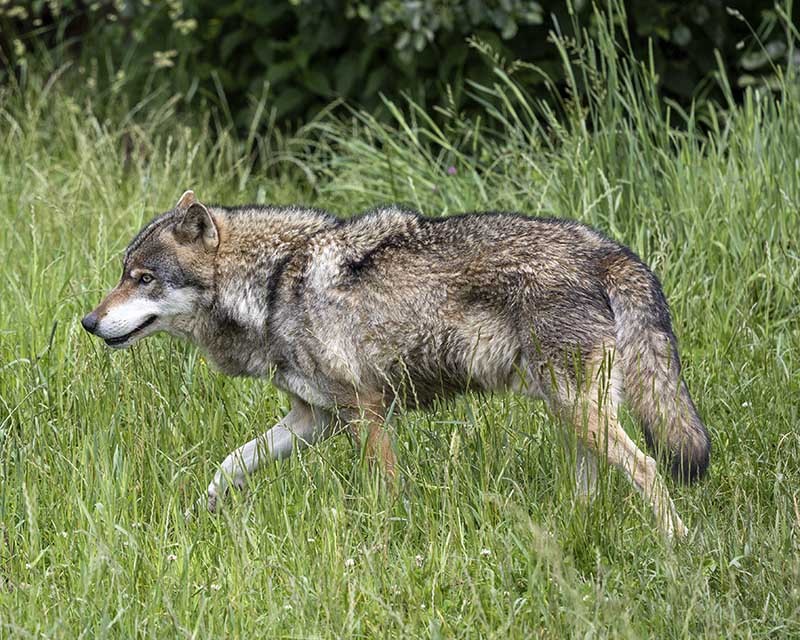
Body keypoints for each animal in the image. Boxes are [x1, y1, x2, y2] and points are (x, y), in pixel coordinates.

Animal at [82, 191, 710, 539]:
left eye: (143, 279)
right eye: (122, 274)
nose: (88, 322)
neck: (273, 285)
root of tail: (607, 250)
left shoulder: (366, 411)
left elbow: (385, 491)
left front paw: (386, 543)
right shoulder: (312, 419)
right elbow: (229, 464)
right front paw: (199, 513)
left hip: (579, 408)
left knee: (647, 468)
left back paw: (679, 545)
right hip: (571, 411)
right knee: (594, 482)